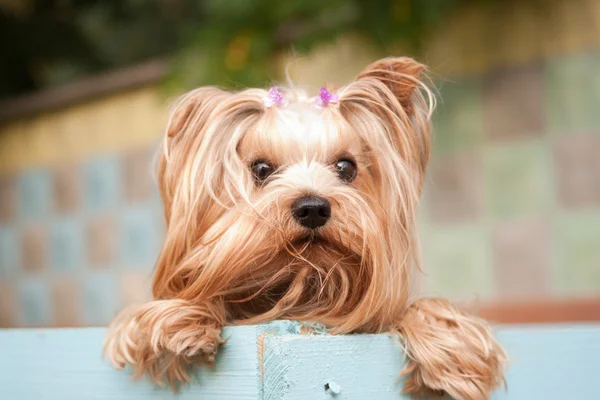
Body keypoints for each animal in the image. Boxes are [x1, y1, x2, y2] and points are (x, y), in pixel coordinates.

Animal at [104, 57, 506, 400]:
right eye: (261, 169)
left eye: (346, 166)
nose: (312, 207)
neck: (304, 281)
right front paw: (179, 318)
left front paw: (453, 346)